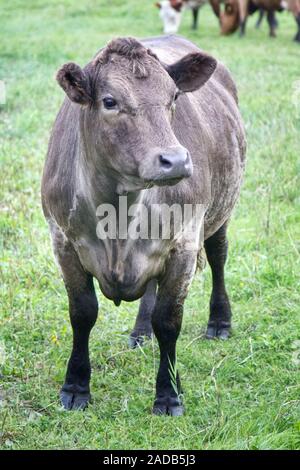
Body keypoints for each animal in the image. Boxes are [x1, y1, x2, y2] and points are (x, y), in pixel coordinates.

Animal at [41, 35, 246, 414]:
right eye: (110, 101)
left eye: (174, 97)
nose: (175, 160)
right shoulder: (62, 241)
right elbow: (82, 313)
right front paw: (76, 386)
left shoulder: (184, 245)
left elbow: (168, 320)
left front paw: (169, 394)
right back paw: (140, 332)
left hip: (221, 210)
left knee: (218, 257)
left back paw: (219, 321)